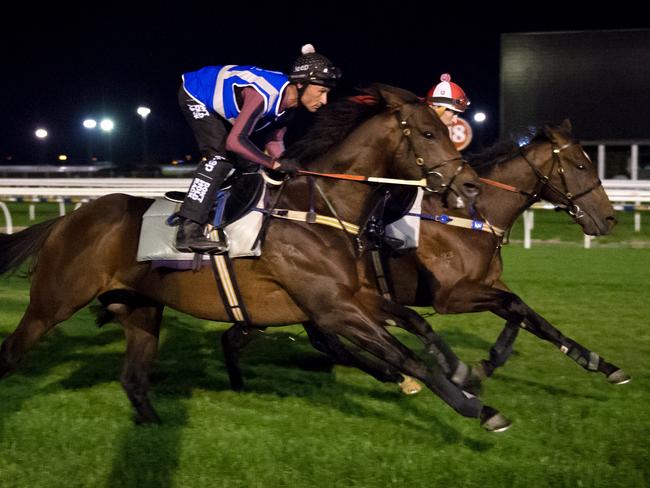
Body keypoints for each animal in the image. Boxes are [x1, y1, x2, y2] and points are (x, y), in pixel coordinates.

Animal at [0, 83, 508, 430]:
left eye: (449, 131)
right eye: (427, 132)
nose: (470, 186)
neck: (317, 208)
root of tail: (69, 218)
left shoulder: (356, 297)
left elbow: (419, 324)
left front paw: (465, 372)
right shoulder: (333, 308)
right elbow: (407, 356)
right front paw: (477, 408)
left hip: (142, 310)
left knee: (134, 379)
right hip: (52, 303)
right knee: (12, 352)